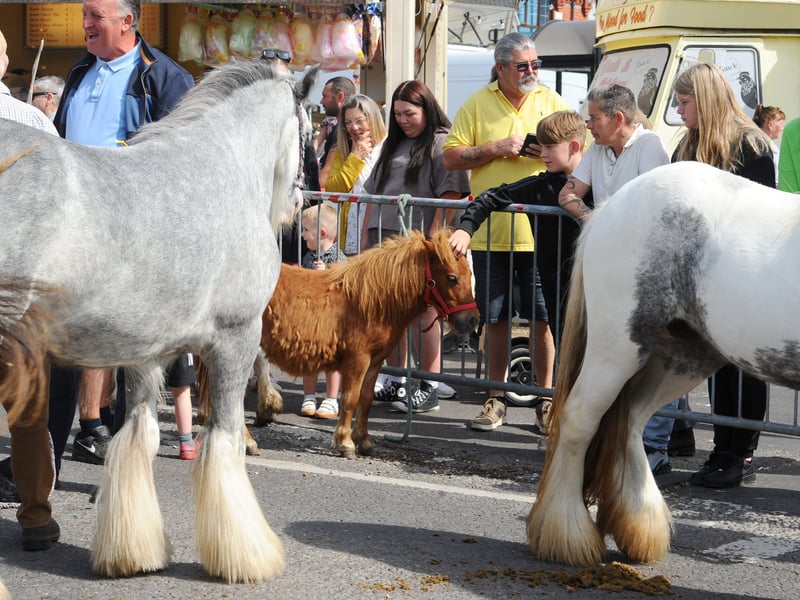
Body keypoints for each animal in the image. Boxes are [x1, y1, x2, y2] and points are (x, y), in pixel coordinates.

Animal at [0, 60, 313, 583]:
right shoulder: (237, 337)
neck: (222, 166)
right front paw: (249, 555)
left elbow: (136, 439)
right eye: (310, 131)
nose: (298, 205)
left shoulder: (143, 351)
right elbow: (224, 441)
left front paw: (132, 553)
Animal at [197, 230, 480, 459]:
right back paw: (247, 441)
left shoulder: (375, 362)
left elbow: (365, 400)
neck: (372, 301)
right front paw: (345, 443)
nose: (473, 320)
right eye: (452, 278)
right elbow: (351, 399)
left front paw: (364, 441)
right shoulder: (357, 359)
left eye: (470, 275)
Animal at [527, 162, 800, 567]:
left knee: (631, 421)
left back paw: (639, 527)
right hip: (618, 349)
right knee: (579, 421)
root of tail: (612, 204)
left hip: (683, 358)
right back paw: (568, 535)